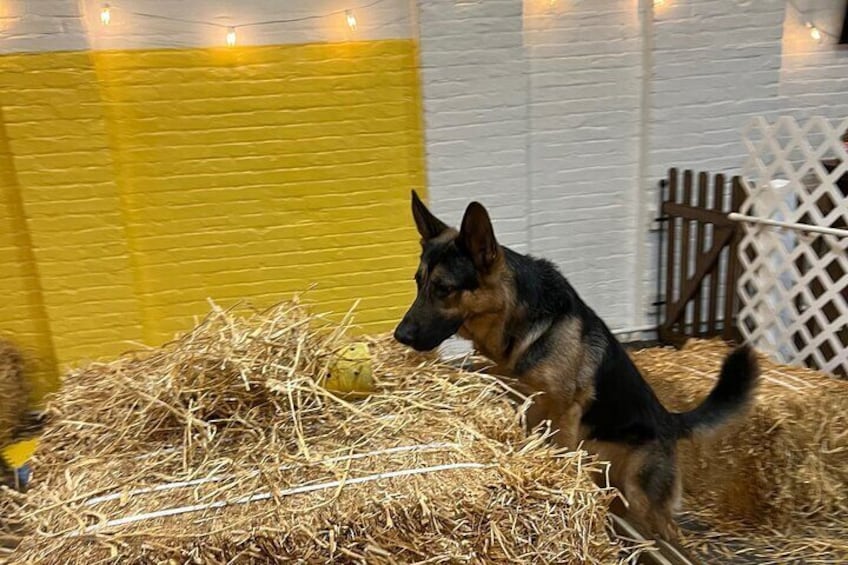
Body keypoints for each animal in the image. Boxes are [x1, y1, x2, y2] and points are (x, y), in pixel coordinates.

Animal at [394, 192, 760, 540]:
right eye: (417, 282)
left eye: (444, 288)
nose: (400, 335)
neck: (519, 321)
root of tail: (669, 420)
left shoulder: (563, 412)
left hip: (641, 497)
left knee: (669, 531)